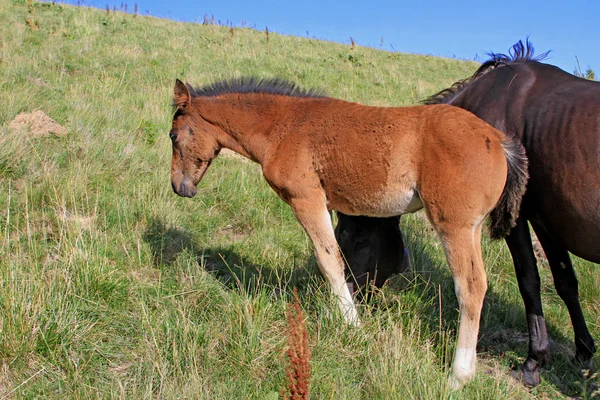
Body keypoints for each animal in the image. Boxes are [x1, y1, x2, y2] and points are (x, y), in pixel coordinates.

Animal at [168, 76, 524, 386]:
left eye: (173, 135)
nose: (179, 187)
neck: (282, 125)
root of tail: (499, 141)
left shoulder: (306, 199)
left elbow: (330, 261)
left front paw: (353, 327)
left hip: (455, 226)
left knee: (470, 287)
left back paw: (458, 375)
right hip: (471, 229)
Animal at [340, 39, 596, 386]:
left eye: (358, 241)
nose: (349, 295)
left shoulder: (519, 218)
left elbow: (529, 280)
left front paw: (534, 361)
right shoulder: (546, 221)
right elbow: (566, 282)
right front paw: (583, 351)